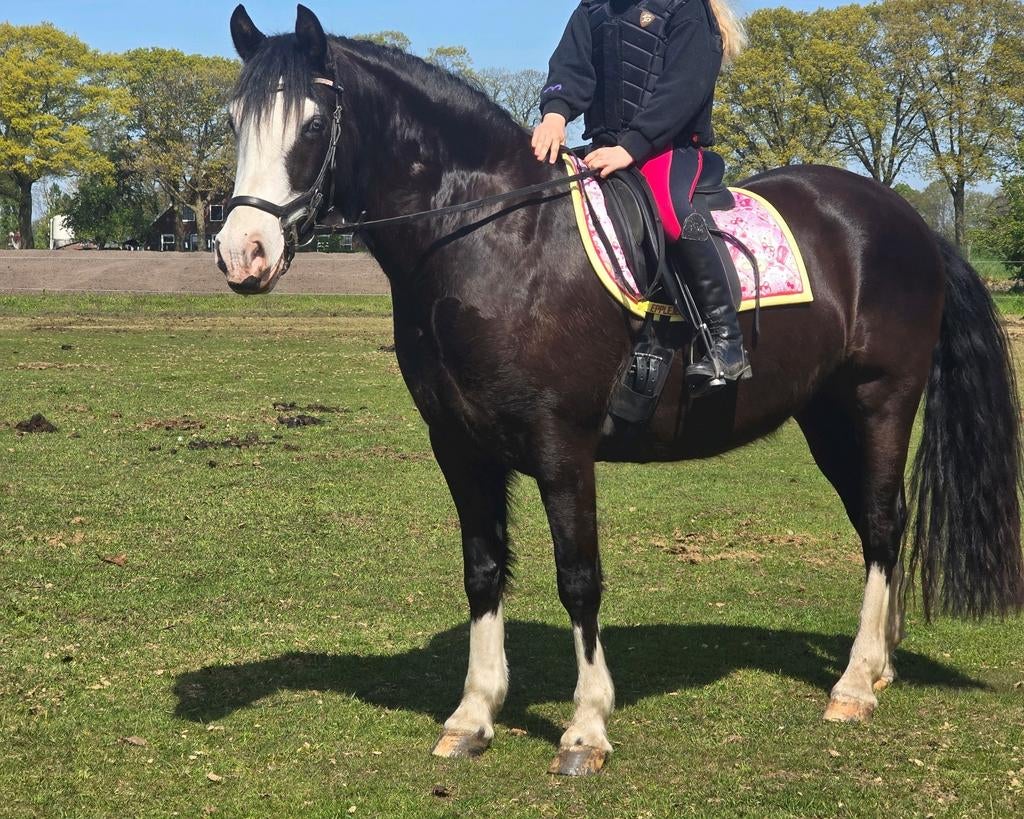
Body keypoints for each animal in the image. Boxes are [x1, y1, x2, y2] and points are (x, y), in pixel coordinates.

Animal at [215, 5, 1024, 776]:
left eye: (311, 124)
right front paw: (473, 717)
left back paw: (854, 684)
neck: (494, 241)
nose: (241, 253)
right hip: (826, 416)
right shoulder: (461, 447)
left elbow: (579, 578)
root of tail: (905, 220)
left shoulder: (561, 445)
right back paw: (880, 663)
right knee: (876, 524)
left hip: (880, 401)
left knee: (884, 524)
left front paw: (585, 729)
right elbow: (483, 570)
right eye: (231, 121)